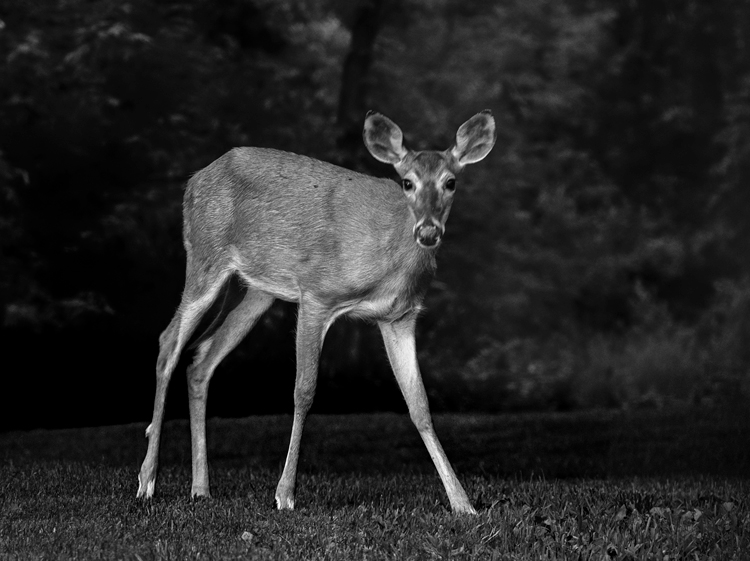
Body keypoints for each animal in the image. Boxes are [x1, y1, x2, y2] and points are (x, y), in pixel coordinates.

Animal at [137, 108, 496, 512]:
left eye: (451, 182)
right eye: (407, 182)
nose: (429, 232)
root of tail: (194, 180)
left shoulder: (398, 317)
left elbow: (419, 404)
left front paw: (462, 502)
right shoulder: (317, 295)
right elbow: (304, 391)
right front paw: (285, 495)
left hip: (256, 289)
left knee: (201, 359)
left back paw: (200, 487)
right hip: (205, 255)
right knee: (169, 342)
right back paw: (147, 480)